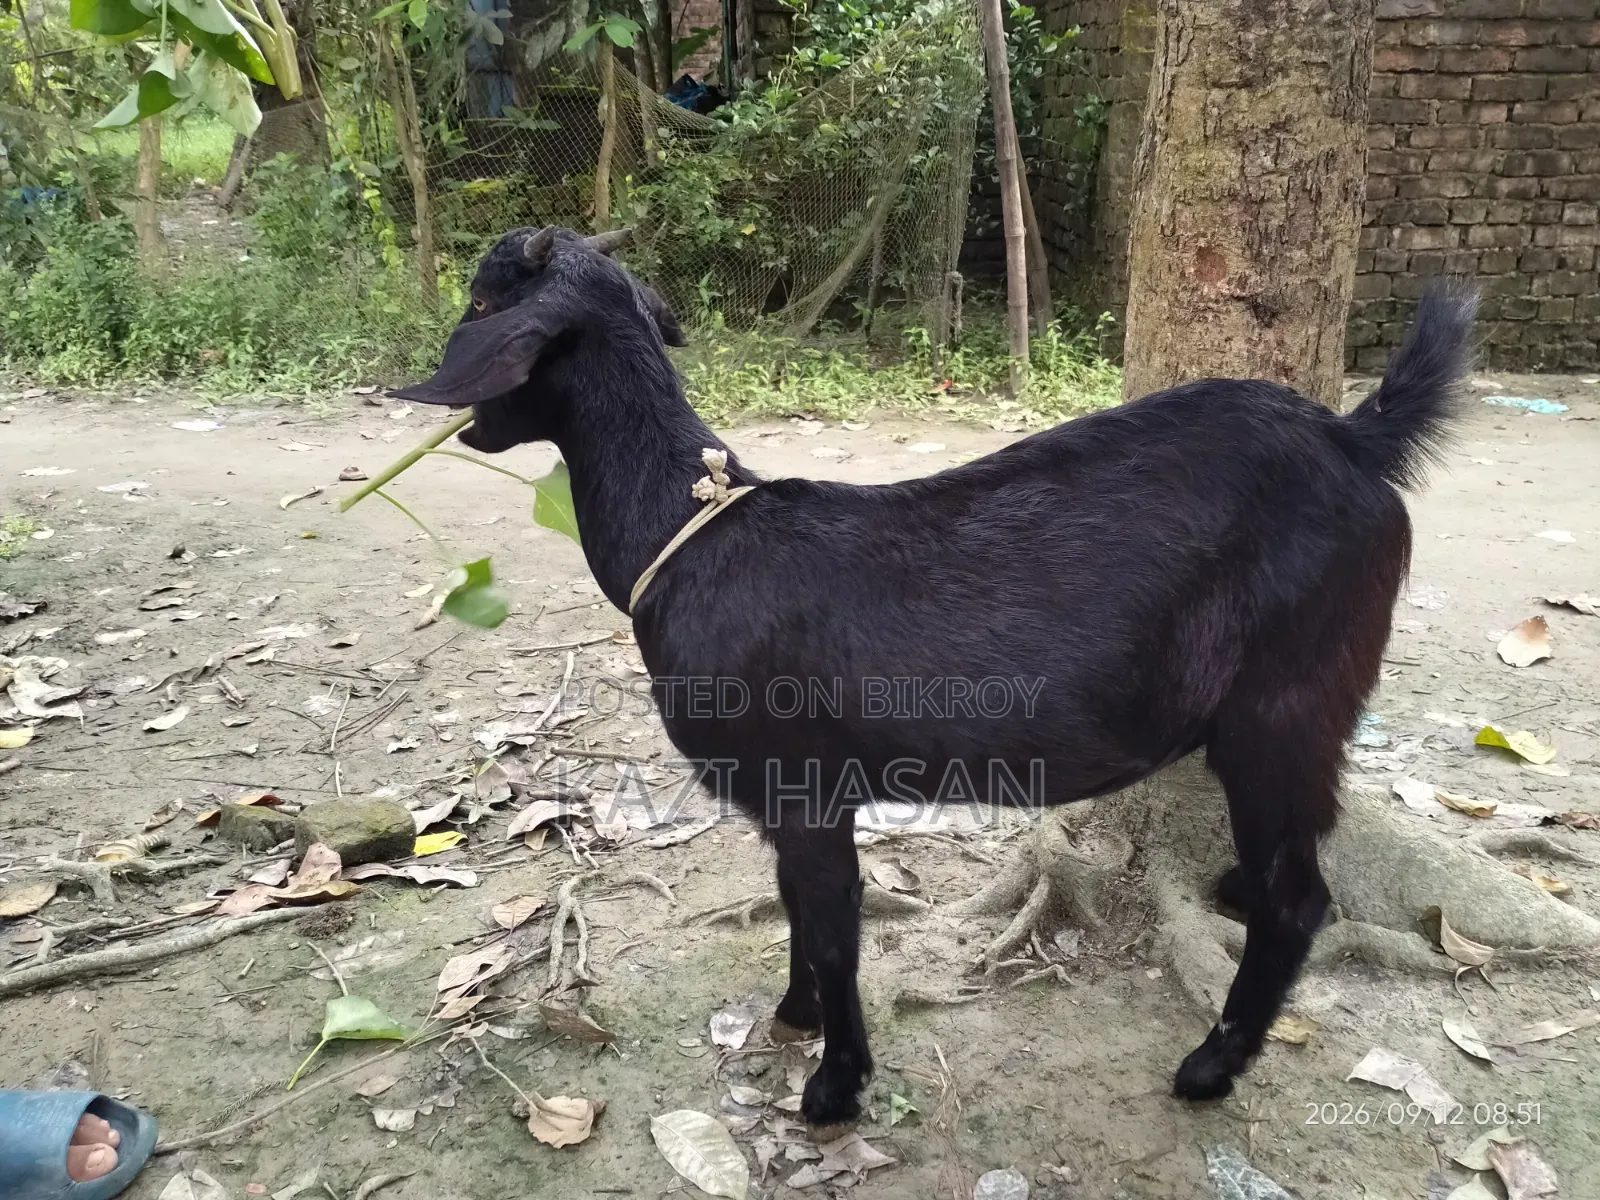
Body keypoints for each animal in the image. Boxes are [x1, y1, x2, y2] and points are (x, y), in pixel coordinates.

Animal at [396, 225, 1477, 1130]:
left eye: (481, 298)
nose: (453, 415)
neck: (694, 531)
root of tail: (1354, 438)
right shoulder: (791, 799)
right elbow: (797, 909)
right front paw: (793, 1017)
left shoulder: (804, 786)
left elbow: (835, 927)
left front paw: (833, 1088)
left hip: (1283, 703)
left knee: (1301, 901)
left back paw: (1209, 1067)